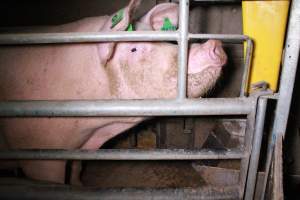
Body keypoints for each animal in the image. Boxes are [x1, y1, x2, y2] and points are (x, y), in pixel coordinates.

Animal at [0, 0, 226, 185]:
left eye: (163, 40)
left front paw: (80, 186)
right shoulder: (36, 151)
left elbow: (77, 168)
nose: (214, 44)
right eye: (133, 49)